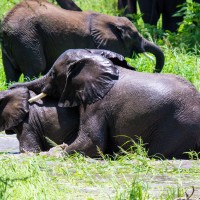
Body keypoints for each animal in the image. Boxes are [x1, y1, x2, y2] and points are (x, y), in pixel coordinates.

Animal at [1, 0, 164, 83]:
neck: (109, 19)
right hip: (26, 38)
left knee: (12, 75)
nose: (152, 71)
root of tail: (5, 25)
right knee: (35, 69)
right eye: (135, 36)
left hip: (13, 42)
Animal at [10, 48, 200, 159]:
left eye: (53, 74)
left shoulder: (97, 106)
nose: (11, 87)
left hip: (176, 127)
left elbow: (91, 142)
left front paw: (56, 151)